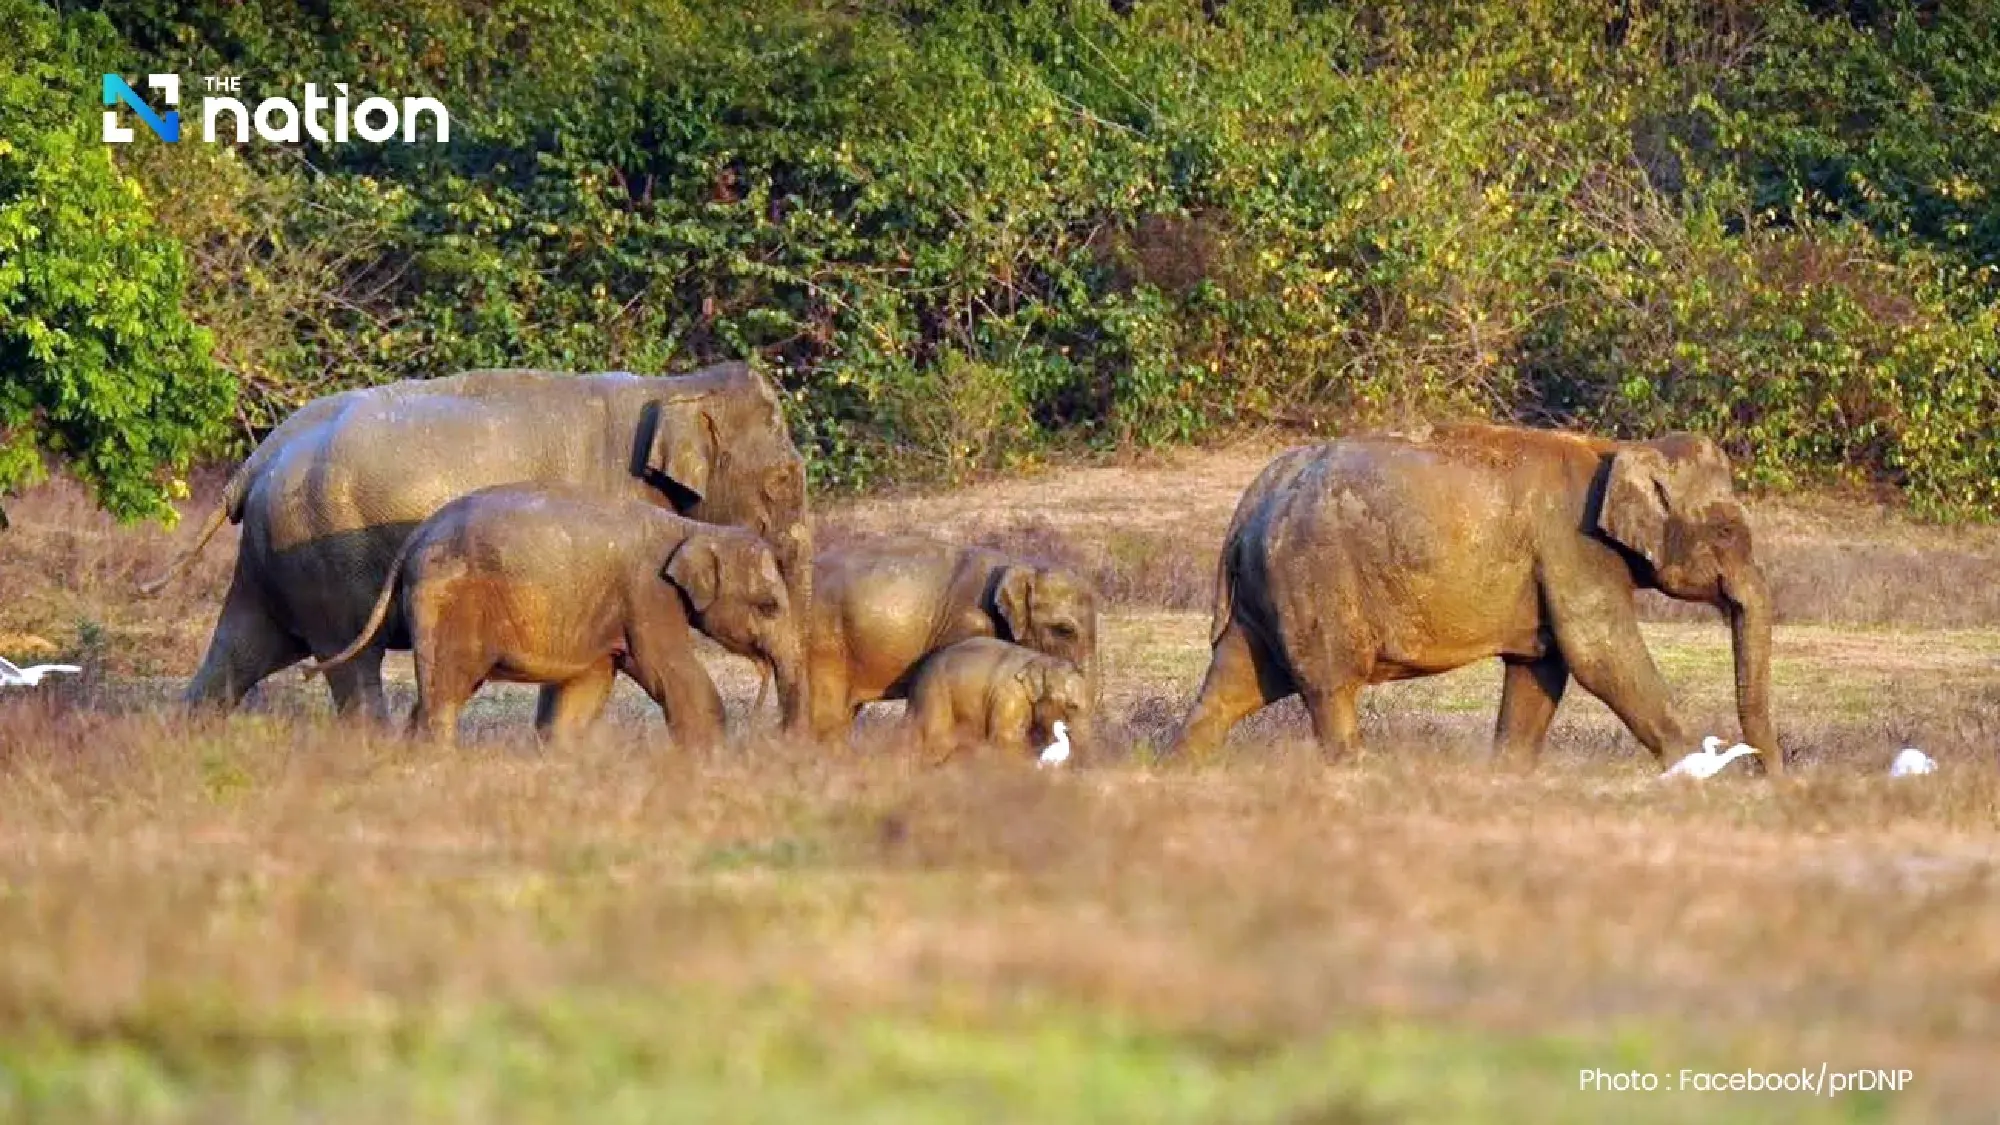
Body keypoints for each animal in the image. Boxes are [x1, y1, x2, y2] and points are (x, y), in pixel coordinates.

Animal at [306, 484, 800, 748]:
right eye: (769, 606)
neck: (693, 529)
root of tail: (419, 534)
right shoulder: (648, 595)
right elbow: (670, 669)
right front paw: (706, 755)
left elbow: (590, 681)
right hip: (447, 600)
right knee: (446, 686)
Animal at [1171, 423, 1780, 772]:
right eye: (1727, 530)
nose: (1766, 776)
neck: (1619, 449)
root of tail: (1254, 496)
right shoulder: (1573, 546)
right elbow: (1599, 654)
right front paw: (1695, 772)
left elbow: (1541, 671)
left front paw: (1507, 778)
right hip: (1311, 578)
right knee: (1329, 685)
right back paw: (1355, 773)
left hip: (1267, 590)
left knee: (1231, 686)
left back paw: (1179, 772)